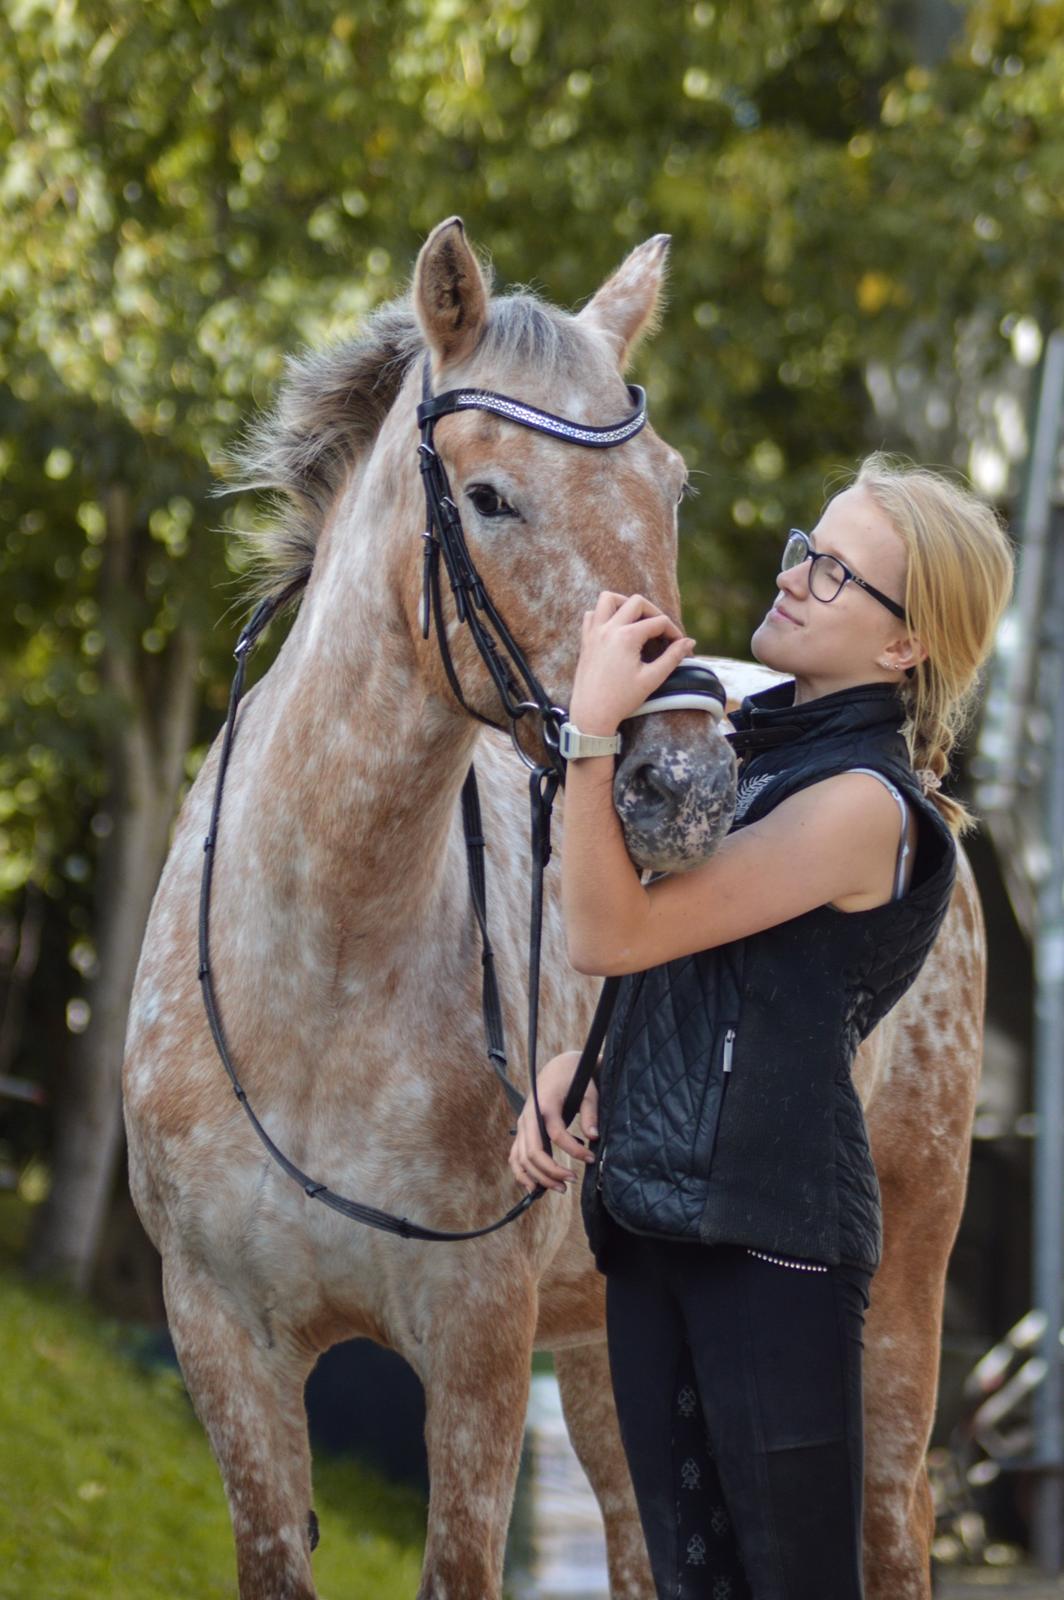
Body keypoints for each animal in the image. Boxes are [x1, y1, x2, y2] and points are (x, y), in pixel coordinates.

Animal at [126, 216, 985, 1600]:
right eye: (484, 496)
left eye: (668, 487)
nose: (682, 788)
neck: (317, 978)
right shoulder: (222, 1340)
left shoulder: (475, 1348)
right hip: (601, 1355)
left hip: (899, 1288)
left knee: (889, 1522)